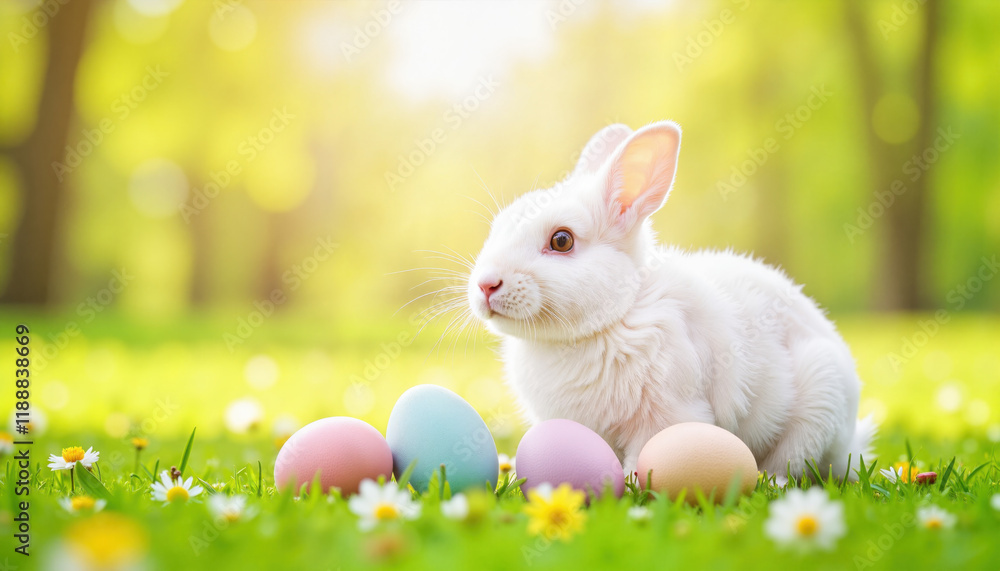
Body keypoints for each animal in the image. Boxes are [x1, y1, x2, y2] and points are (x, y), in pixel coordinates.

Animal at [465, 120, 875, 482]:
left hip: (820, 403)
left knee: (794, 463)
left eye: (561, 240)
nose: (486, 285)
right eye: (496, 229)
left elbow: (645, 454)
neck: (614, 318)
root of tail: (851, 442)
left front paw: (631, 484)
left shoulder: (667, 414)